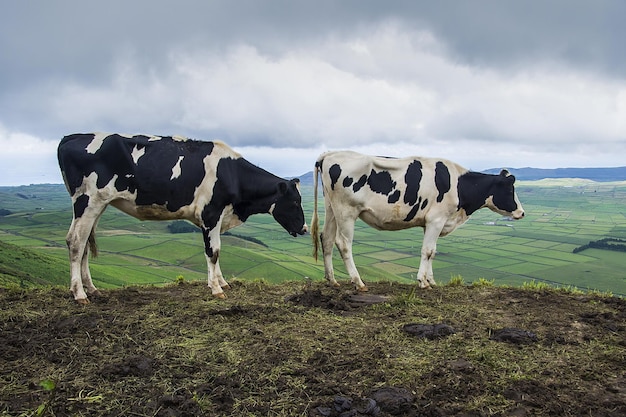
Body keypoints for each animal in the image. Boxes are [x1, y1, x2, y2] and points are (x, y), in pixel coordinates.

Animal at [58, 133, 308, 302]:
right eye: (295, 202)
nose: (305, 228)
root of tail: (72, 137)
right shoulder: (210, 213)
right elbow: (213, 252)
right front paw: (216, 289)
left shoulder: (217, 217)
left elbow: (215, 251)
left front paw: (221, 282)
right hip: (87, 200)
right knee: (75, 242)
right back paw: (79, 294)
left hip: (97, 206)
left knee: (84, 244)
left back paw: (92, 289)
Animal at [310, 150, 520, 290]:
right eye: (510, 189)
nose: (522, 212)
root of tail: (331, 154)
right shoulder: (437, 219)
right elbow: (427, 251)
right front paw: (423, 282)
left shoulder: (431, 223)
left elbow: (432, 252)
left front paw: (431, 280)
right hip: (347, 211)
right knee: (343, 243)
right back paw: (358, 282)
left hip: (331, 209)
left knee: (326, 239)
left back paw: (332, 280)